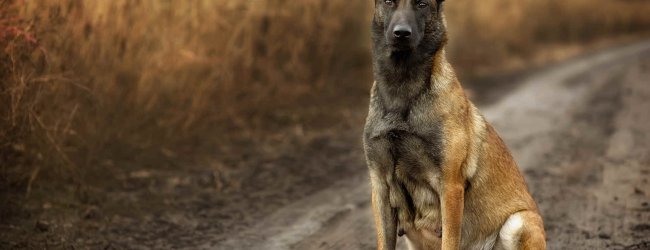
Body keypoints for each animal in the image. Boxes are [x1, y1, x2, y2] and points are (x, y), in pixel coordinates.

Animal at [362, 0, 544, 249]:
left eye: (422, 4)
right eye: (389, 2)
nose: (401, 33)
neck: (402, 90)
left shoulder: (449, 187)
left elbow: (449, 239)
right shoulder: (380, 186)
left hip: (518, 222)